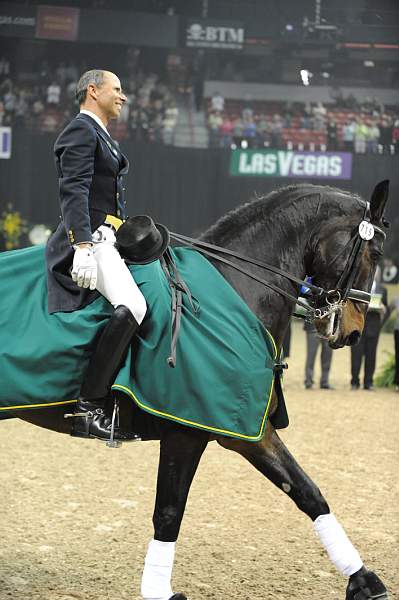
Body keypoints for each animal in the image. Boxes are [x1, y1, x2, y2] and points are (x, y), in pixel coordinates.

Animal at [3, 180, 390, 600]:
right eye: (375, 253)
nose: (353, 331)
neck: (236, 292)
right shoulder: (186, 430)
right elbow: (169, 513)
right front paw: (158, 590)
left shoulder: (248, 430)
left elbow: (307, 491)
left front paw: (363, 579)